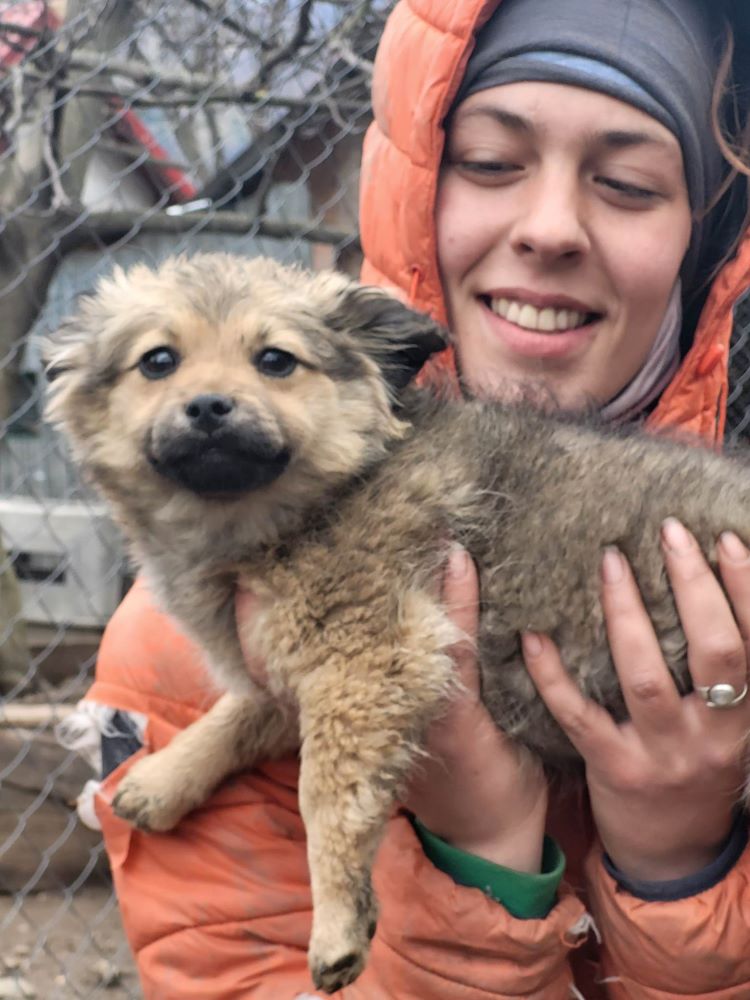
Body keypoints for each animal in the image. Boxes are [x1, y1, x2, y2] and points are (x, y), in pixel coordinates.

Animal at [45, 252, 750, 992]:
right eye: (158, 361)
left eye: (275, 360)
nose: (209, 407)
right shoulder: (296, 660)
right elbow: (240, 713)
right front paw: (166, 776)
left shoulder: (366, 657)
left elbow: (324, 797)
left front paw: (337, 921)